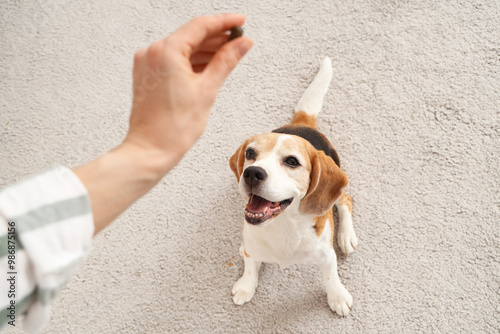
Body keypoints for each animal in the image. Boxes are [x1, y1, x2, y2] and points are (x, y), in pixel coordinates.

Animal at [229, 56, 358, 316]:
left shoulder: (326, 255)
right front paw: (246, 285)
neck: (284, 225)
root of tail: (301, 124)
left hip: (338, 187)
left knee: (345, 201)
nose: (252, 173)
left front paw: (337, 296)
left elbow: (331, 275)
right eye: (250, 153)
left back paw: (346, 236)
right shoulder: (253, 247)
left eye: (291, 161)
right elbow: (250, 265)